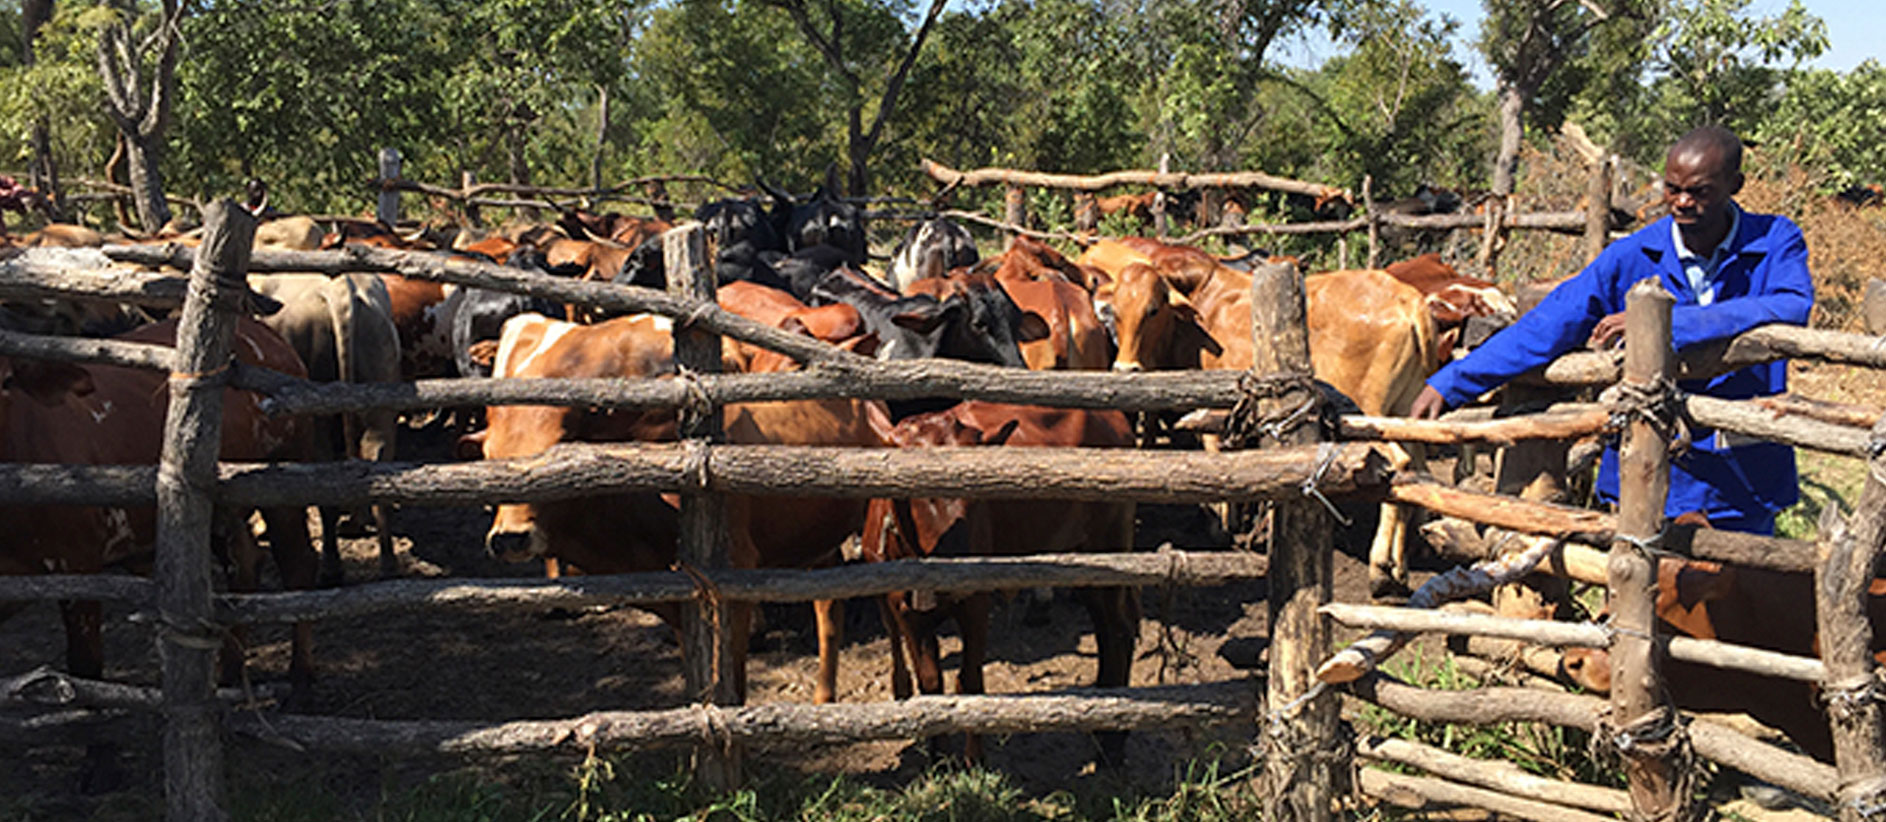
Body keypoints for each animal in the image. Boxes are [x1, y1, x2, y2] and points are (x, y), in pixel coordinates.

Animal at [247, 272, 403, 582]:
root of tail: (339, 288)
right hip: (380, 402)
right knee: (376, 465)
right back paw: (386, 565)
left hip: (316, 415)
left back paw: (331, 566)